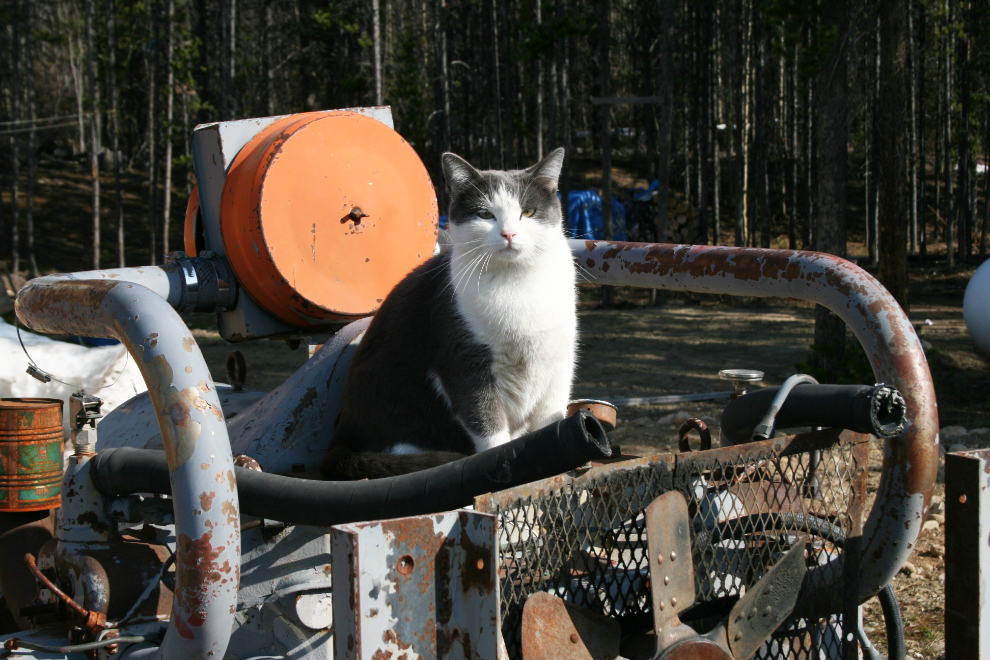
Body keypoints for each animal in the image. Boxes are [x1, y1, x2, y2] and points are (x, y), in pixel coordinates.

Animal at [322, 148, 576, 480]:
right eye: (485, 215)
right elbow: (488, 426)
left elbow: (549, 421)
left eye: (529, 212)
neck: (517, 284)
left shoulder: (558, 364)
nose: (509, 233)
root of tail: (341, 435)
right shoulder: (463, 362)